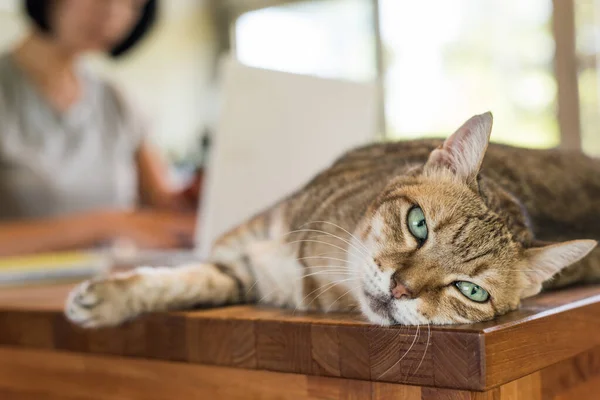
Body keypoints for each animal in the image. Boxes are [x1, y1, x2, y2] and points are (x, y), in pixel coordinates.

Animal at [63, 113, 596, 328]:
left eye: (471, 291)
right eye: (418, 224)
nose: (400, 288)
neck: (315, 264)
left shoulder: (244, 275)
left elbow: (194, 284)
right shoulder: (240, 258)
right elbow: (180, 281)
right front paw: (111, 297)